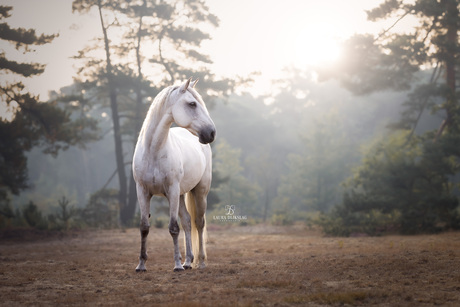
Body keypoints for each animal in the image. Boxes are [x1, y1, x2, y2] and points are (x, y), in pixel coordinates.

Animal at [130, 79, 215, 272]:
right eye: (192, 104)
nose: (211, 133)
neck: (153, 151)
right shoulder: (142, 191)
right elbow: (144, 227)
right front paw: (141, 265)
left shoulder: (172, 191)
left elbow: (173, 228)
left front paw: (176, 265)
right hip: (182, 195)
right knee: (187, 221)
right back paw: (188, 261)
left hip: (199, 192)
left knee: (199, 223)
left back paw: (201, 262)